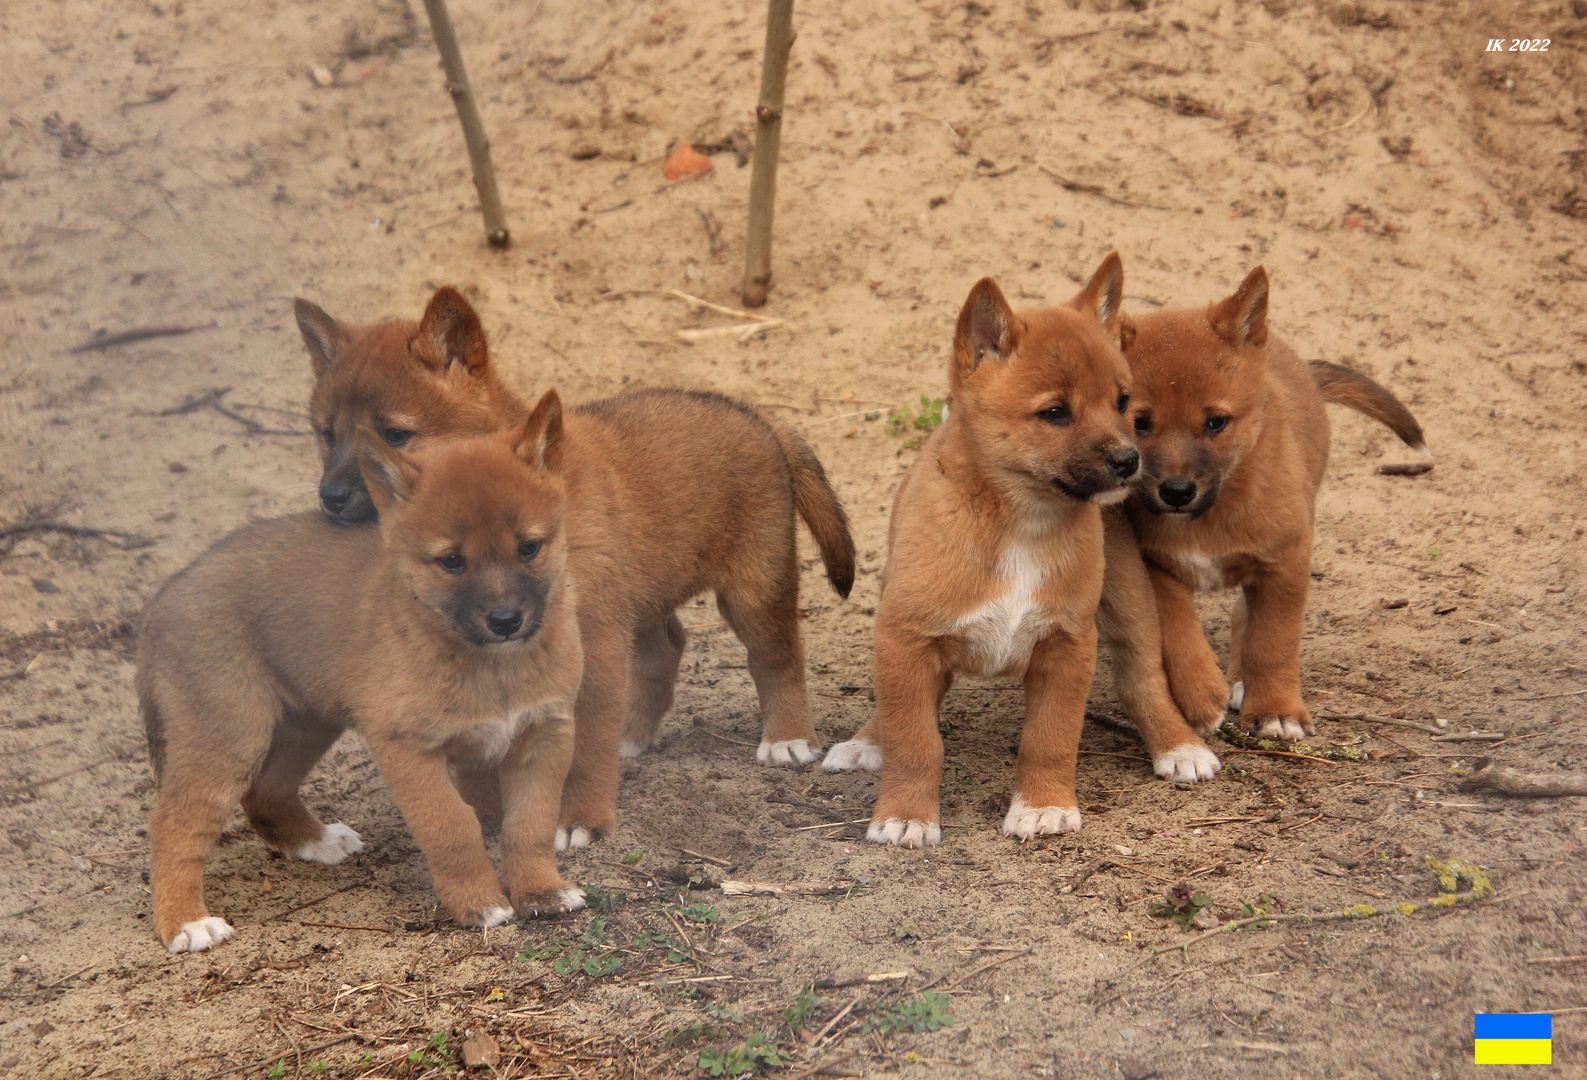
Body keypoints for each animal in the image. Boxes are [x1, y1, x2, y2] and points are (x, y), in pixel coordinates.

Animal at [139, 391, 587, 945]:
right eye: (451, 561)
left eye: (529, 548)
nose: (506, 621)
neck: (490, 666)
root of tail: (165, 595)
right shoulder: (408, 749)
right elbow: (451, 828)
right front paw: (478, 903)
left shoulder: (543, 735)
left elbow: (530, 824)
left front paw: (541, 891)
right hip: (227, 736)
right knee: (173, 823)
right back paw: (186, 922)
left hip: (305, 723)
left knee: (266, 792)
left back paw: (314, 841)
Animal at [295, 290, 856, 843]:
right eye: (326, 434)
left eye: (395, 434)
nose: (331, 499)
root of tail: (756, 415)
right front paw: (487, 809)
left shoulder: (597, 638)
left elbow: (585, 745)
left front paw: (580, 817)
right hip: (643, 593)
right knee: (666, 648)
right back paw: (634, 734)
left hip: (754, 589)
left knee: (778, 657)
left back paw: (787, 738)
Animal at [825, 252, 1148, 843]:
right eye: (1055, 412)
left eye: (1122, 401)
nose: (1128, 460)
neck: (1022, 525)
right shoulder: (908, 641)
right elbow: (915, 741)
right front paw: (905, 814)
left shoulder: (1068, 648)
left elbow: (1050, 738)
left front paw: (1043, 804)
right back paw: (866, 742)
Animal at [1123, 268, 1434, 742]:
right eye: (1139, 423)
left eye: (1216, 422)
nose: (1176, 492)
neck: (1212, 513)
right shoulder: (1154, 563)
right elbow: (1177, 628)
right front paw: (1199, 693)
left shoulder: (1284, 564)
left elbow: (1273, 643)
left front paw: (1276, 709)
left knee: (1244, 619)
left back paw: (1243, 682)